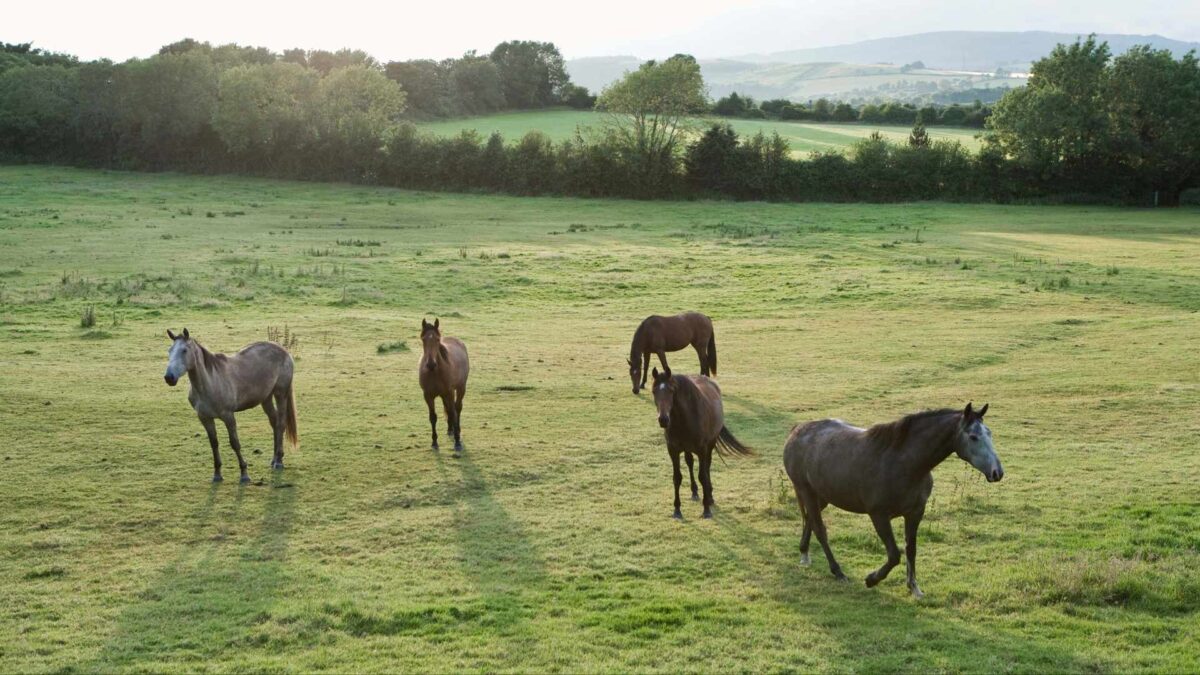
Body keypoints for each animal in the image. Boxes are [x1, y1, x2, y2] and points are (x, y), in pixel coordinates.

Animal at [162, 328, 298, 483]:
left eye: (184, 350)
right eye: (169, 350)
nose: (169, 377)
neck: (210, 383)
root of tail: (283, 350)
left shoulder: (228, 416)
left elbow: (235, 443)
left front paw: (244, 474)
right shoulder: (205, 418)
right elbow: (214, 443)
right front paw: (217, 474)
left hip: (281, 394)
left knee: (281, 423)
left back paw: (279, 461)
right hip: (266, 398)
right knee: (274, 423)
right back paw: (274, 458)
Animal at [418, 318, 470, 453]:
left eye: (437, 339)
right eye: (423, 339)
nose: (431, 364)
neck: (434, 372)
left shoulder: (450, 392)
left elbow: (453, 412)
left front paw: (457, 442)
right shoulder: (428, 395)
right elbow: (433, 417)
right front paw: (434, 442)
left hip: (460, 388)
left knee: (457, 408)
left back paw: (457, 430)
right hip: (443, 395)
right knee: (448, 408)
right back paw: (450, 429)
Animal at [649, 367, 753, 519]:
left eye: (671, 391)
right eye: (654, 391)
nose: (663, 419)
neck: (685, 419)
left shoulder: (702, 450)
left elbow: (703, 476)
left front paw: (706, 509)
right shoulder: (673, 450)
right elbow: (677, 478)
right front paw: (677, 510)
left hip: (710, 444)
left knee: (707, 466)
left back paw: (709, 495)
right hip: (687, 448)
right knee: (690, 463)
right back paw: (694, 491)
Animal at [783, 403, 1003, 597]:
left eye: (989, 433)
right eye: (973, 437)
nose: (997, 472)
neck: (903, 463)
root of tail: (797, 431)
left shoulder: (915, 513)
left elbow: (911, 549)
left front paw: (913, 587)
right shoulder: (879, 515)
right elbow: (895, 554)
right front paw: (871, 579)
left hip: (822, 496)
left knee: (809, 520)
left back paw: (804, 553)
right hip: (807, 491)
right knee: (820, 529)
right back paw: (837, 571)